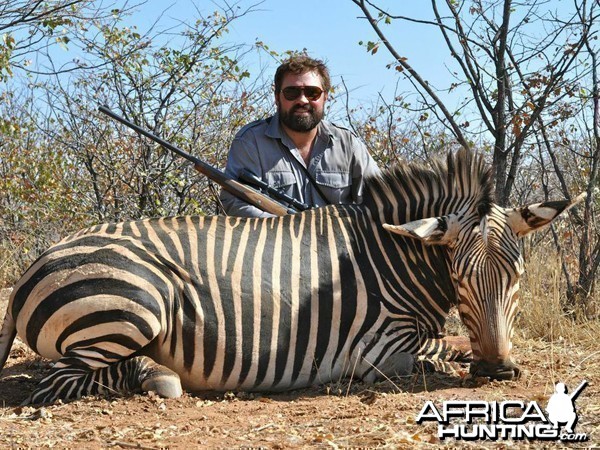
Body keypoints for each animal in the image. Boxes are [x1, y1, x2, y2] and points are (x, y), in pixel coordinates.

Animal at [0, 149, 584, 404]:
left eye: (517, 275)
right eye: (459, 279)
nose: (500, 371)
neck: (392, 253)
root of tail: (38, 260)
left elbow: (454, 342)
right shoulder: (380, 348)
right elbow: (441, 349)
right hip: (138, 303)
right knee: (58, 381)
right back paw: (157, 375)